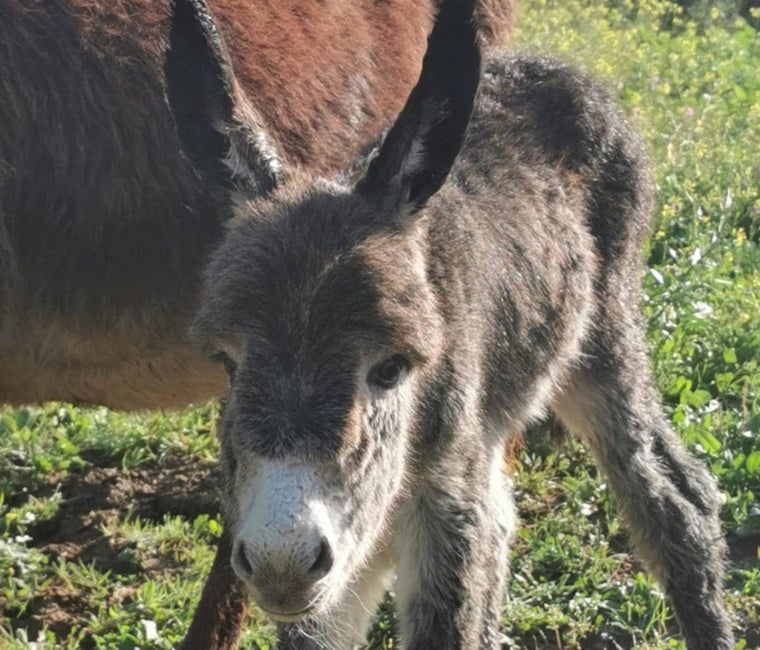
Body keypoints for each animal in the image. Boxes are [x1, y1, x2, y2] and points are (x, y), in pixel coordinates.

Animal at [193, 1, 732, 644]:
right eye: (228, 363)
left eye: (391, 369)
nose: (282, 562)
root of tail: (559, 70)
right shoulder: (347, 570)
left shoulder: (444, 512)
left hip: (602, 346)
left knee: (675, 497)